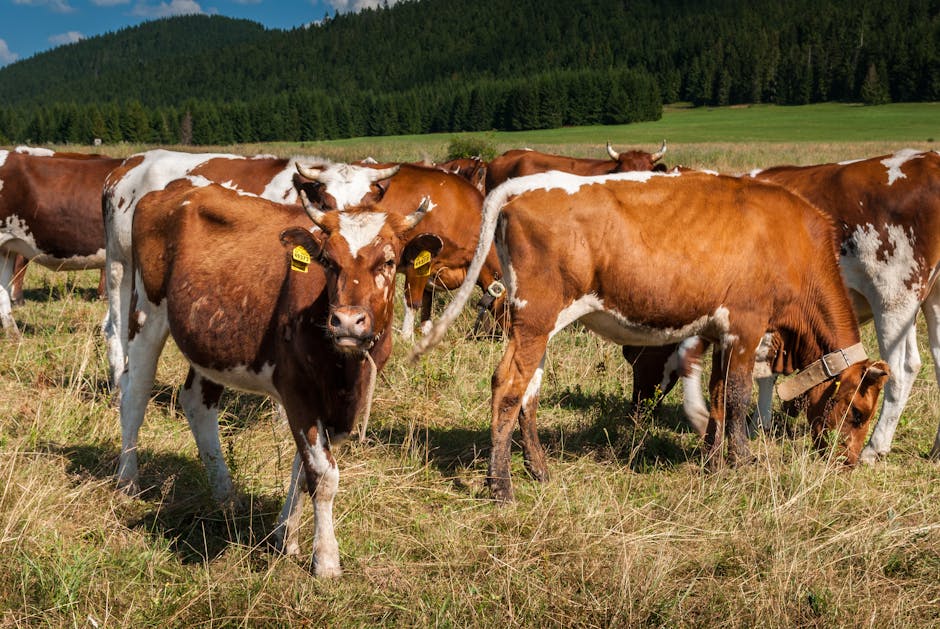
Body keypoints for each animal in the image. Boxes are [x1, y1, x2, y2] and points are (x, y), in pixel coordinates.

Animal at [122, 177, 441, 576]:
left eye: (389, 261)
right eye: (328, 261)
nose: (347, 321)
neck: (345, 369)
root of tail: (179, 187)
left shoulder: (341, 404)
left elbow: (304, 470)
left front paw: (285, 537)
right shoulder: (297, 390)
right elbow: (323, 475)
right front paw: (326, 559)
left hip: (210, 338)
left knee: (197, 403)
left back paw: (225, 495)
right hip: (145, 310)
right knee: (134, 395)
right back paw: (127, 482)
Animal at [294, 161, 506, 339]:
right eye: (325, 204)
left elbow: (427, 302)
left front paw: (425, 331)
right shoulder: (419, 261)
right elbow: (413, 301)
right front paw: (406, 337)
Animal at [411, 170, 889, 501]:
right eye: (859, 412)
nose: (848, 462)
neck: (793, 241)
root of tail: (522, 186)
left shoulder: (719, 330)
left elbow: (717, 396)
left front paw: (713, 465)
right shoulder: (747, 324)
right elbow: (737, 398)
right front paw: (743, 462)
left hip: (537, 325)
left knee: (529, 391)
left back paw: (539, 471)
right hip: (536, 317)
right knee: (507, 387)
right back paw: (501, 486)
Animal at [628, 149, 940, 463]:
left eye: (632, 355)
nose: (637, 409)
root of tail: (929, 159)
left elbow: (689, 355)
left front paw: (700, 416)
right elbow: (766, 371)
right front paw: (759, 423)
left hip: (893, 298)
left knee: (902, 369)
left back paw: (875, 447)